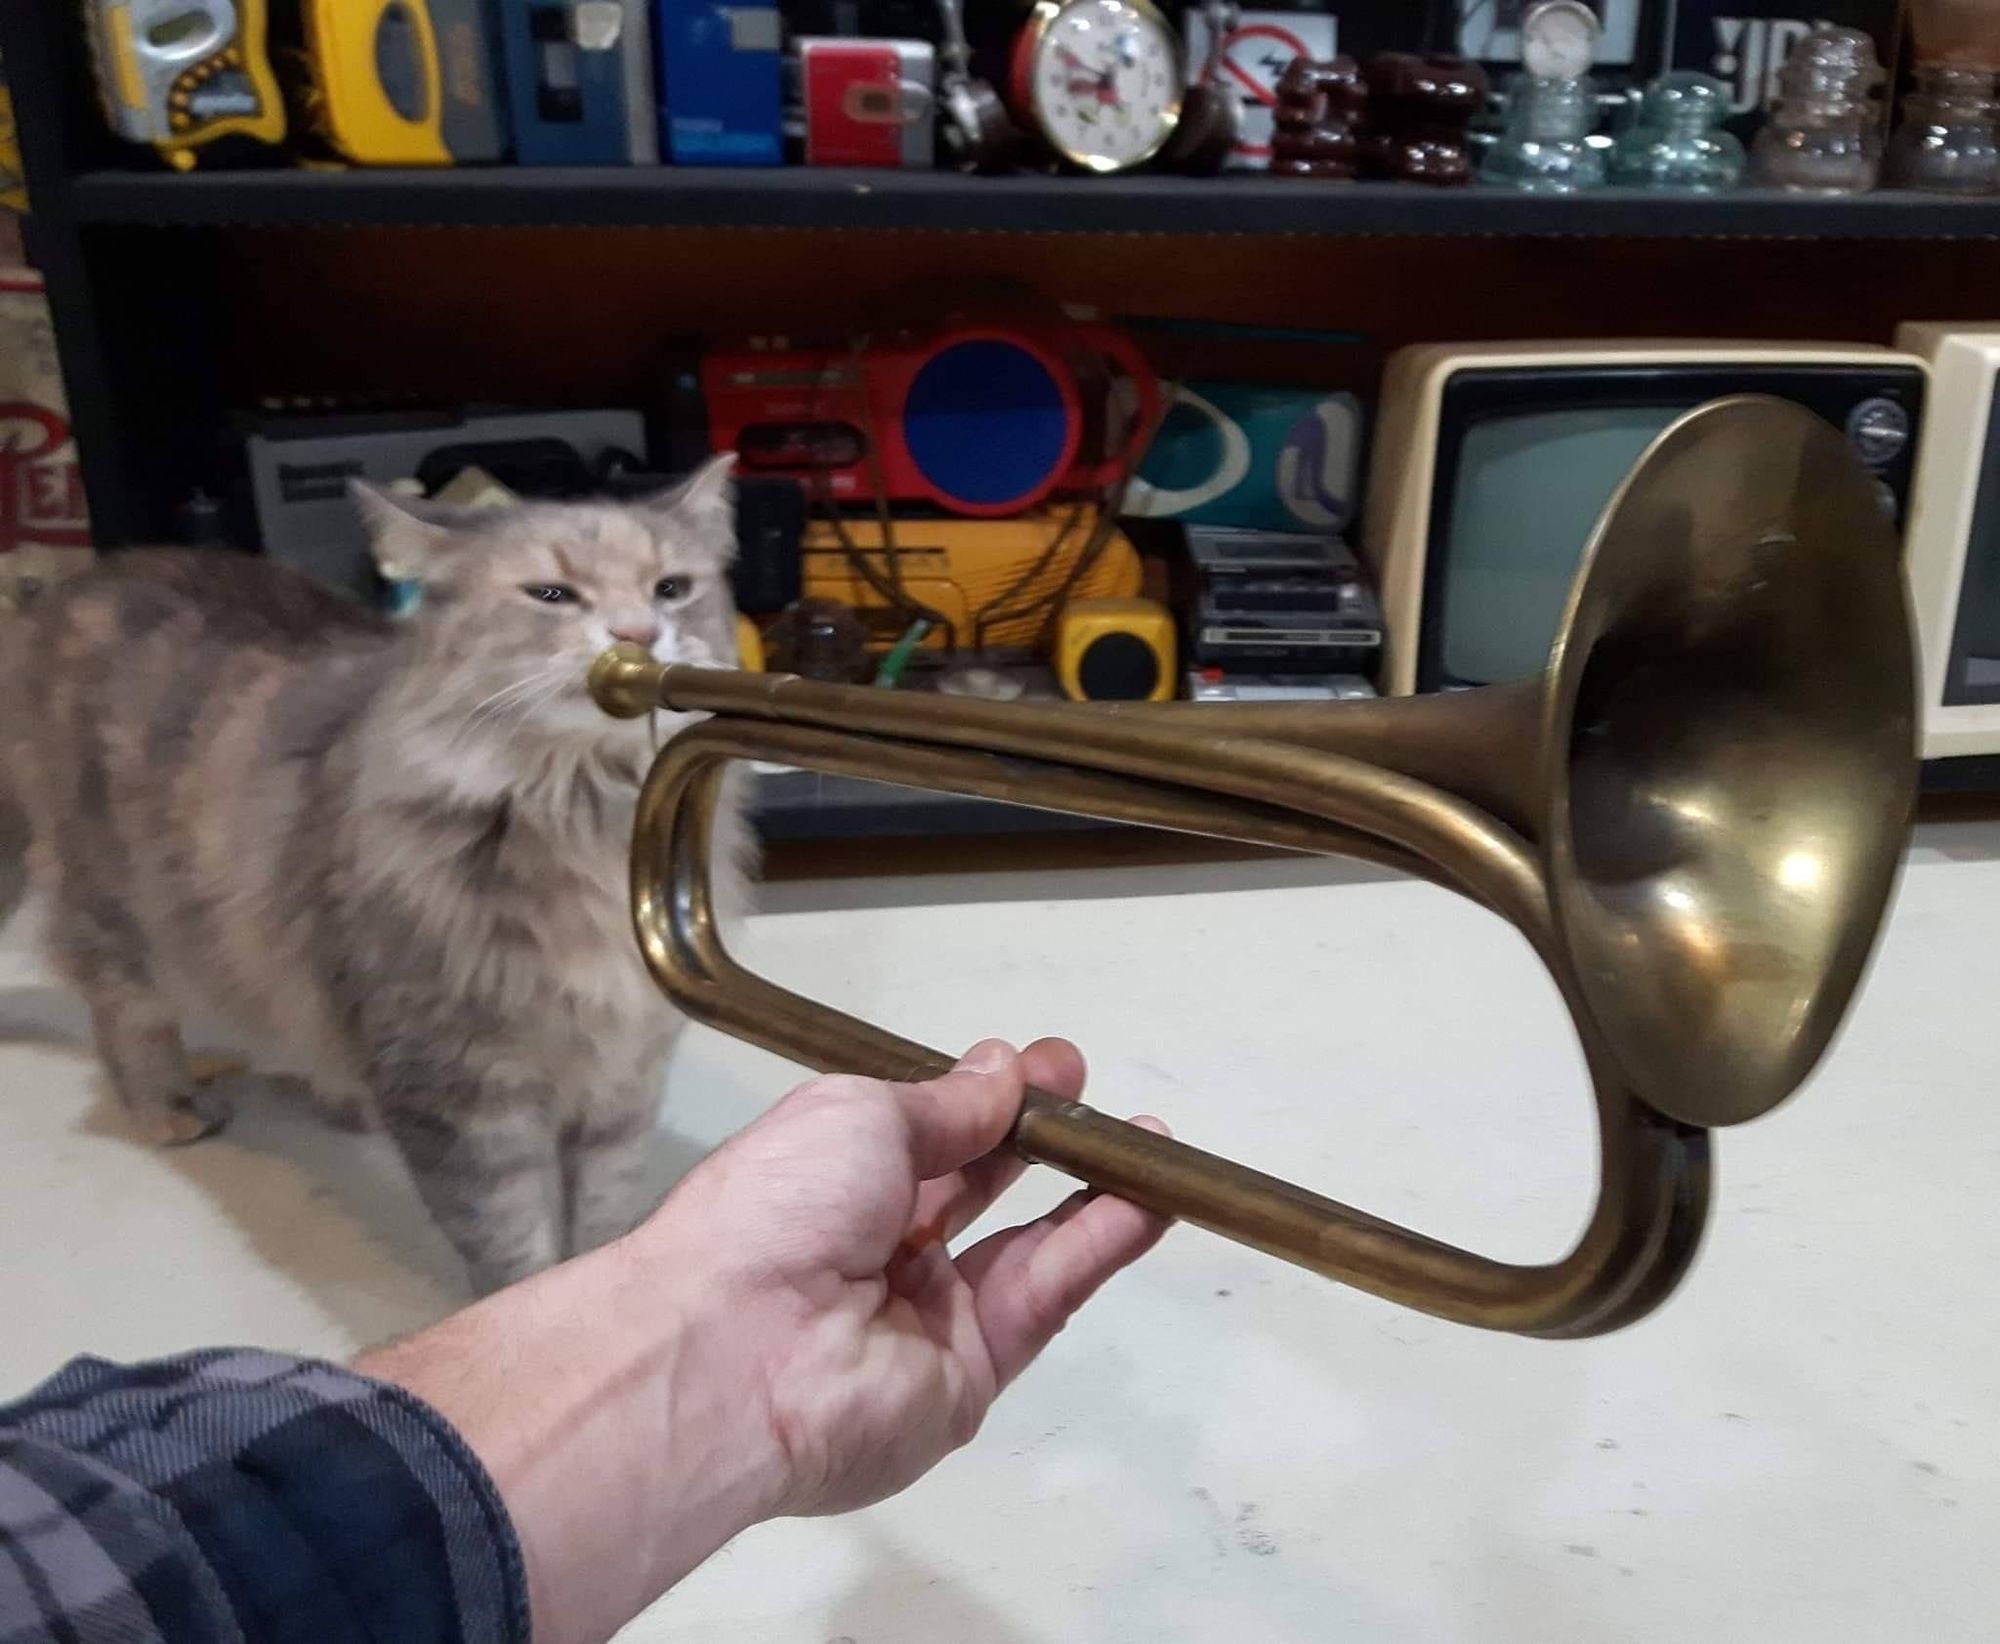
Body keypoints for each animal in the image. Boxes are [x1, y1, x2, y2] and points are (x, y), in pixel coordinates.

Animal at [0, 458, 752, 1296]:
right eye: (553, 595)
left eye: (671, 589)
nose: (638, 635)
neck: (585, 814)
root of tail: (86, 579)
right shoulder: (460, 1089)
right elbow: (509, 1236)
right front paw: (537, 1300)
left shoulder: (623, 1077)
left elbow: (603, 1213)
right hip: (117, 912)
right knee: (123, 1017)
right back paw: (171, 1107)